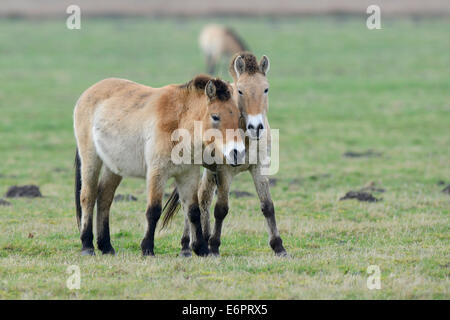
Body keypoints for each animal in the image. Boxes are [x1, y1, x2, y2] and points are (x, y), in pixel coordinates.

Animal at [73, 75, 246, 258]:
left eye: (238, 116)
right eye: (215, 116)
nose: (238, 152)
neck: (179, 122)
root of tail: (88, 93)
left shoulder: (188, 174)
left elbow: (193, 211)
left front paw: (202, 249)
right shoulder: (158, 172)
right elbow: (154, 210)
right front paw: (147, 248)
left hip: (113, 167)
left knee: (104, 198)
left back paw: (106, 246)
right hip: (91, 159)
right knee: (88, 197)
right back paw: (87, 246)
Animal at [163, 52, 286, 258]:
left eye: (266, 89)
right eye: (240, 91)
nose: (256, 127)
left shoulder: (259, 167)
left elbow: (267, 206)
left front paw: (279, 247)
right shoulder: (224, 171)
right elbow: (221, 209)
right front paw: (214, 246)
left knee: (203, 198)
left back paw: (201, 239)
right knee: (191, 201)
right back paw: (187, 246)